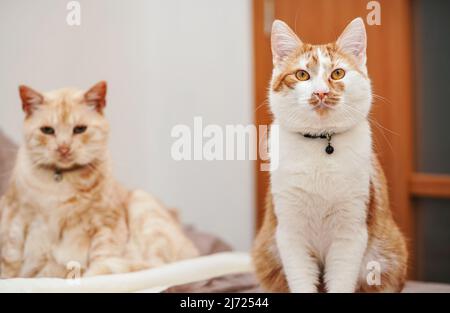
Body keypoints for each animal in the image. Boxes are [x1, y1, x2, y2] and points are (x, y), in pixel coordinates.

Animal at [0, 81, 197, 276]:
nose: (64, 148)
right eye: (47, 130)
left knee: (154, 264)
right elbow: (11, 260)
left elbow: (101, 259)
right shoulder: (17, 218)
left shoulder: (105, 222)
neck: (61, 179)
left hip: (142, 205)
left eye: (79, 129)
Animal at [253, 18, 408, 292]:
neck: (320, 143)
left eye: (337, 73)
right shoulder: (290, 233)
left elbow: (341, 279)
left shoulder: (351, 231)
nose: (321, 92)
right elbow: (301, 280)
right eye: (302, 74)